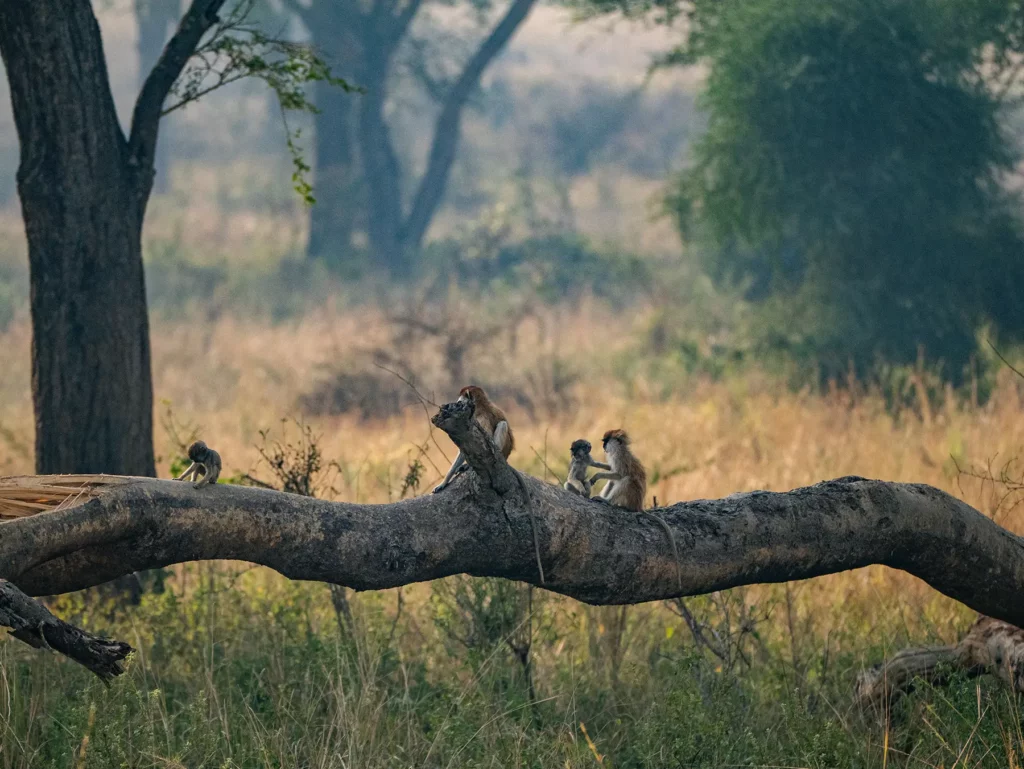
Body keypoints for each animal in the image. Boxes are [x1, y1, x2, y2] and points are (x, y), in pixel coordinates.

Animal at [591, 429, 683, 591]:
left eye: (606, 440)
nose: (603, 447)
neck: (620, 449)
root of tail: (638, 505)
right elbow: (612, 477)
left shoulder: (620, 459)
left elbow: (619, 475)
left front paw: (597, 475)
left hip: (632, 495)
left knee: (626, 480)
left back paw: (608, 502)